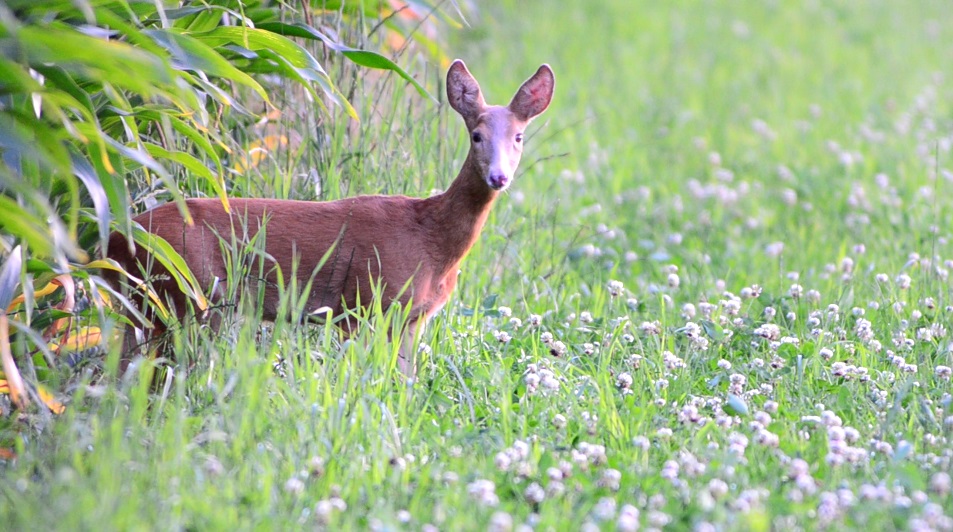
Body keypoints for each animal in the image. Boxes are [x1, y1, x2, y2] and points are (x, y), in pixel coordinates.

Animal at [106, 60, 555, 378]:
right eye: (476, 136)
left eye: (519, 137)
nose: (499, 177)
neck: (432, 240)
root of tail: (109, 240)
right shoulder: (367, 299)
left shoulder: (412, 317)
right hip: (189, 292)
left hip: (148, 303)